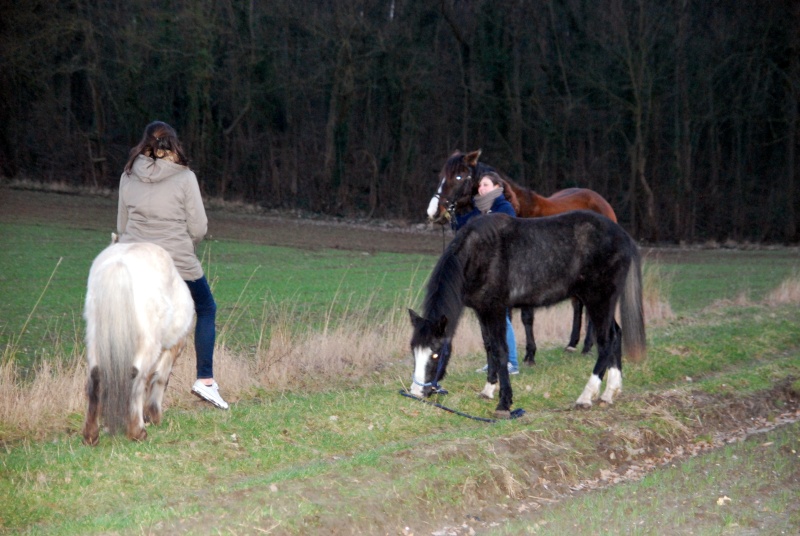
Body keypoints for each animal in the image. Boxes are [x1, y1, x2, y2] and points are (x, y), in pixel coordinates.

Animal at [82, 241, 194, 446]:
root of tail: (118, 265)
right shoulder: (173, 346)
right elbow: (160, 377)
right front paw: (153, 414)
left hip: (95, 340)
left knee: (96, 377)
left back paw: (91, 434)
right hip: (149, 343)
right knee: (135, 376)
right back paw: (137, 430)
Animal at [424, 149, 620, 362]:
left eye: (459, 176)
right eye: (441, 176)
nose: (433, 211)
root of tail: (602, 203)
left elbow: (526, 317)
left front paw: (529, 355)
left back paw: (587, 346)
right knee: (579, 305)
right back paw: (573, 344)